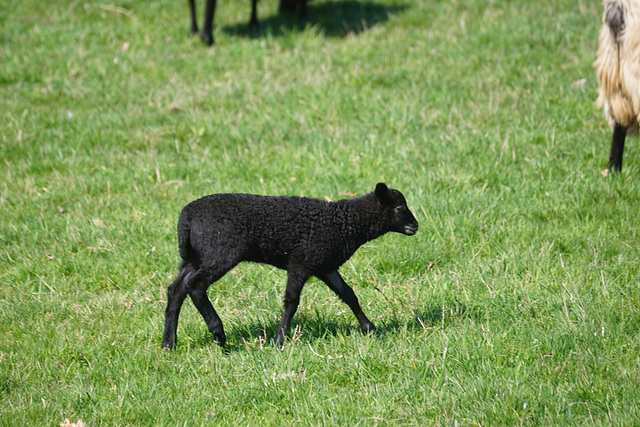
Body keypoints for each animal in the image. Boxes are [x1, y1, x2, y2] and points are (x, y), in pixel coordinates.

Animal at [162, 182, 418, 350]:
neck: (344, 222)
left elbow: (348, 295)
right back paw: (218, 332)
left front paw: (370, 329)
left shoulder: (324, 264)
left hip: (195, 257)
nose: (415, 226)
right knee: (195, 286)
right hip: (220, 252)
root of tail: (186, 217)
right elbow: (292, 302)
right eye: (399, 208)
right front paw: (279, 341)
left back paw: (168, 343)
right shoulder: (301, 262)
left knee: (176, 290)